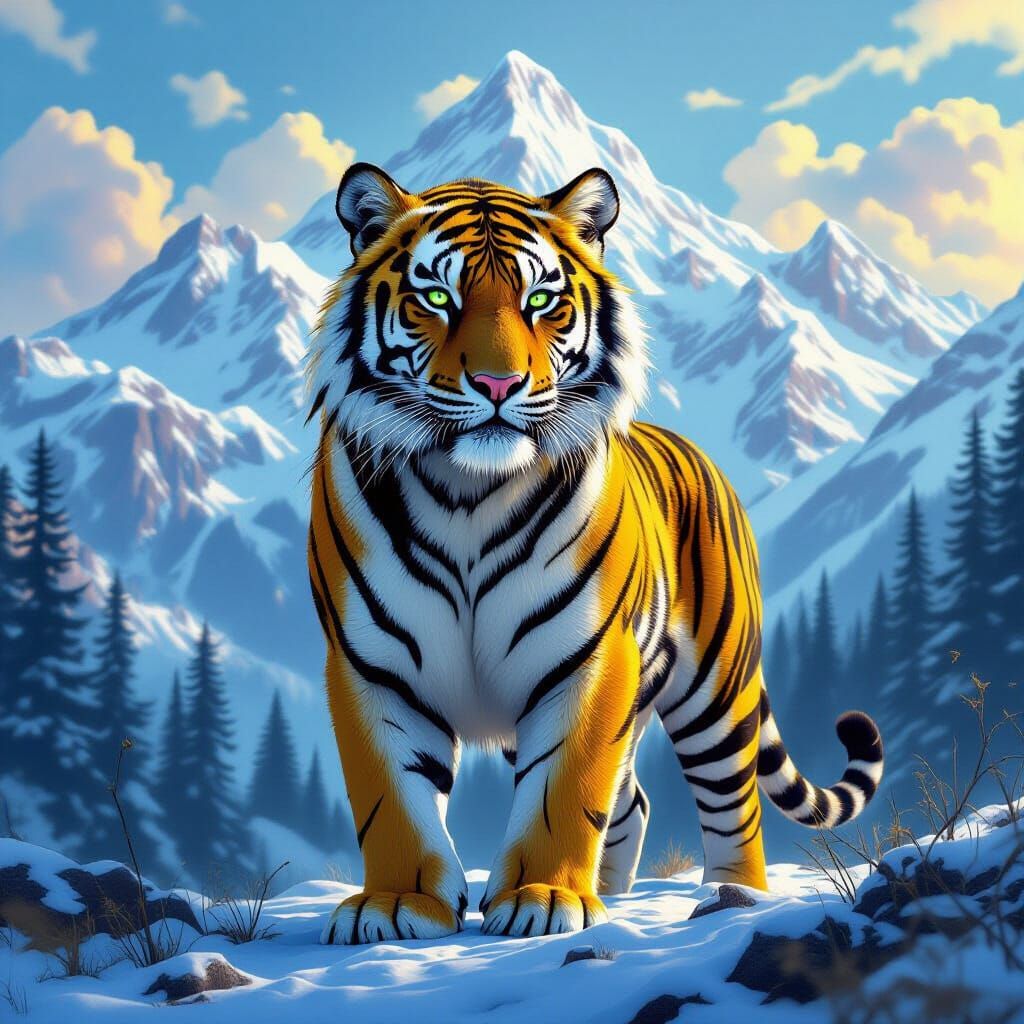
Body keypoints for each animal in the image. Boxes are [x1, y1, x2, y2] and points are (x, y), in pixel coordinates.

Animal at [306, 162, 884, 945]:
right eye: (437, 298)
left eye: (541, 300)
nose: (498, 385)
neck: (467, 492)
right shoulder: (370, 664)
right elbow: (390, 797)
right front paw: (397, 904)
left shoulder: (587, 657)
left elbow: (565, 787)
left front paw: (546, 897)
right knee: (632, 802)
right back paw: (610, 895)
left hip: (716, 689)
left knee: (732, 805)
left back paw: (731, 897)